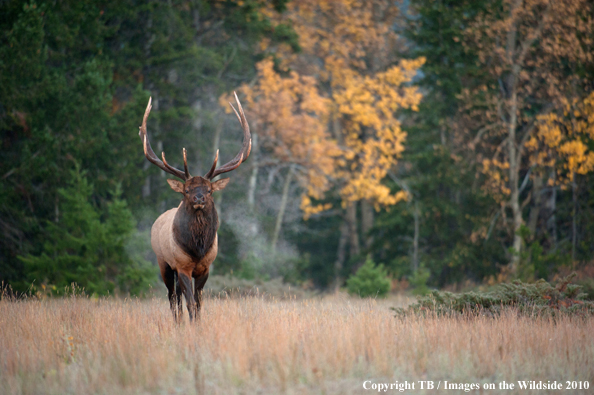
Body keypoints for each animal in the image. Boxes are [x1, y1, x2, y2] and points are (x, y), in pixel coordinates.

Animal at [139, 94, 250, 324]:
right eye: (187, 190)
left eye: (209, 189)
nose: (199, 198)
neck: (198, 248)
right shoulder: (181, 265)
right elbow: (189, 302)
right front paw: (190, 326)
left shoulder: (205, 267)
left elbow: (199, 304)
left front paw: (197, 324)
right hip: (163, 262)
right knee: (173, 297)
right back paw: (177, 322)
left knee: (178, 296)